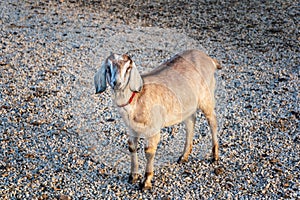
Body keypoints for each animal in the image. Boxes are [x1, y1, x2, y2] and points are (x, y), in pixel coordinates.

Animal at [95, 49, 221, 190]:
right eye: (108, 68)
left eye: (128, 68)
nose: (116, 83)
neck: (137, 98)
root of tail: (209, 59)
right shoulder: (132, 128)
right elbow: (132, 146)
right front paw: (133, 176)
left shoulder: (153, 129)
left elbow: (149, 151)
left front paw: (146, 182)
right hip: (187, 104)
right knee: (190, 123)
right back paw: (184, 156)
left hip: (206, 97)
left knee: (213, 121)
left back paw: (215, 156)